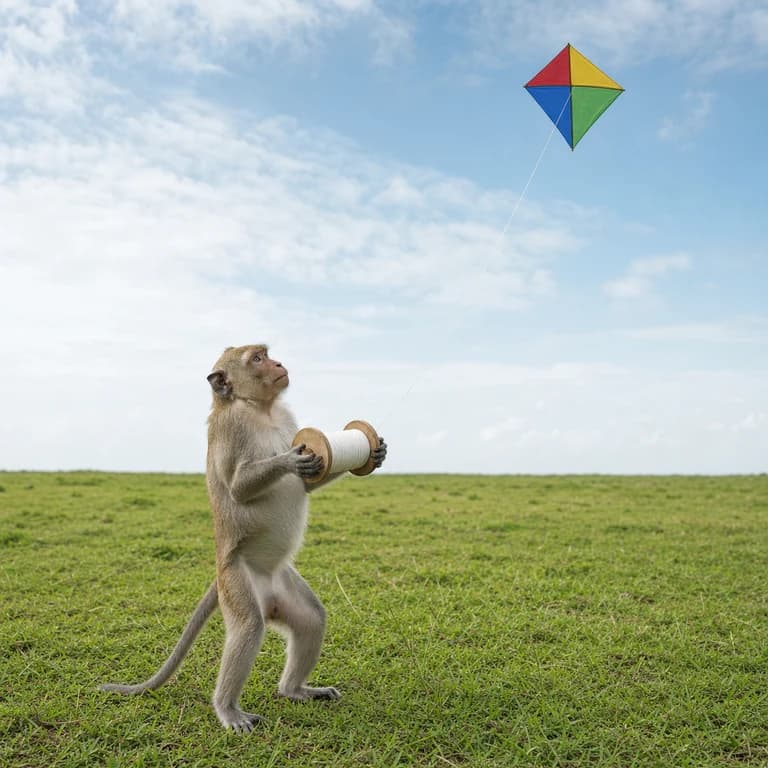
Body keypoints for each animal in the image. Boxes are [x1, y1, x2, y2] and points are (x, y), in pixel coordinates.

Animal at [100, 344, 387, 732]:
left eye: (267, 355)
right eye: (257, 358)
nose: (278, 363)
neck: (259, 409)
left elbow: (308, 483)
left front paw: (374, 452)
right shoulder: (231, 426)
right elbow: (238, 486)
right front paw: (290, 460)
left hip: (281, 585)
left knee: (312, 618)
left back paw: (294, 690)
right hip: (236, 580)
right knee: (250, 626)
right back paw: (227, 709)